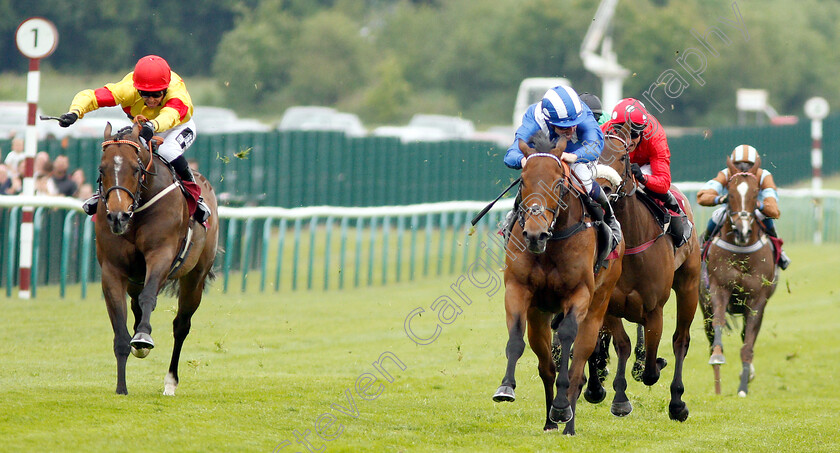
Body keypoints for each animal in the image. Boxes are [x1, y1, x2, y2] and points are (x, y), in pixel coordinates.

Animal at [95, 122, 220, 394]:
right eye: (102, 169)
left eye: (135, 169)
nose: (118, 217)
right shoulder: (112, 269)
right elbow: (120, 327)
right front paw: (121, 387)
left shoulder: (161, 255)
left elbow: (149, 297)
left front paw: (143, 337)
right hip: (135, 278)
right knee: (135, 304)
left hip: (194, 277)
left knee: (181, 325)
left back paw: (170, 381)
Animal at [492, 131, 624, 434]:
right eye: (523, 181)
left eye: (558, 182)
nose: (535, 234)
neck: (551, 244)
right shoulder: (518, 290)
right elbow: (516, 338)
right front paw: (506, 387)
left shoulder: (580, 294)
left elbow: (567, 341)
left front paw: (563, 407)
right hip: (540, 314)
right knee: (546, 366)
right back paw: (550, 422)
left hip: (598, 306)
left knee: (578, 364)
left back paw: (567, 421)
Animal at [588, 126, 704, 420]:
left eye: (622, 158)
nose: (603, 189)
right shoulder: (609, 305)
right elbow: (623, 345)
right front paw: (619, 399)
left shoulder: (654, 308)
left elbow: (652, 367)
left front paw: (652, 367)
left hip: (689, 286)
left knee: (680, 340)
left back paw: (677, 403)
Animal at [700, 158, 776, 396]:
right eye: (730, 194)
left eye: (755, 193)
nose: (742, 232)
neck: (741, 250)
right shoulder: (718, 288)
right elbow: (718, 323)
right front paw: (718, 356)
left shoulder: (757, 300)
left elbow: (748, 345)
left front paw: (743, 386)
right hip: (703, 305)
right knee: (709, 336)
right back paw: (717, 387)